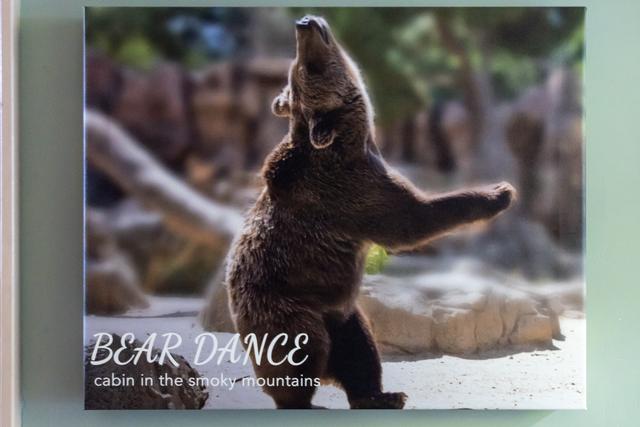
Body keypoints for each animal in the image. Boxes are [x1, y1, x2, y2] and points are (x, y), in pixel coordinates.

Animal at [226, 15, 516, 409]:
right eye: (307, 67)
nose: (304, 22)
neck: (357, 139)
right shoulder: (351, 190)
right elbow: (411, 219)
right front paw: (499, 193)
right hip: (286, 307)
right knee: (302, 350)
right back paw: (305, 399)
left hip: (342, 312)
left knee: (360, 350)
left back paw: (381, 395)